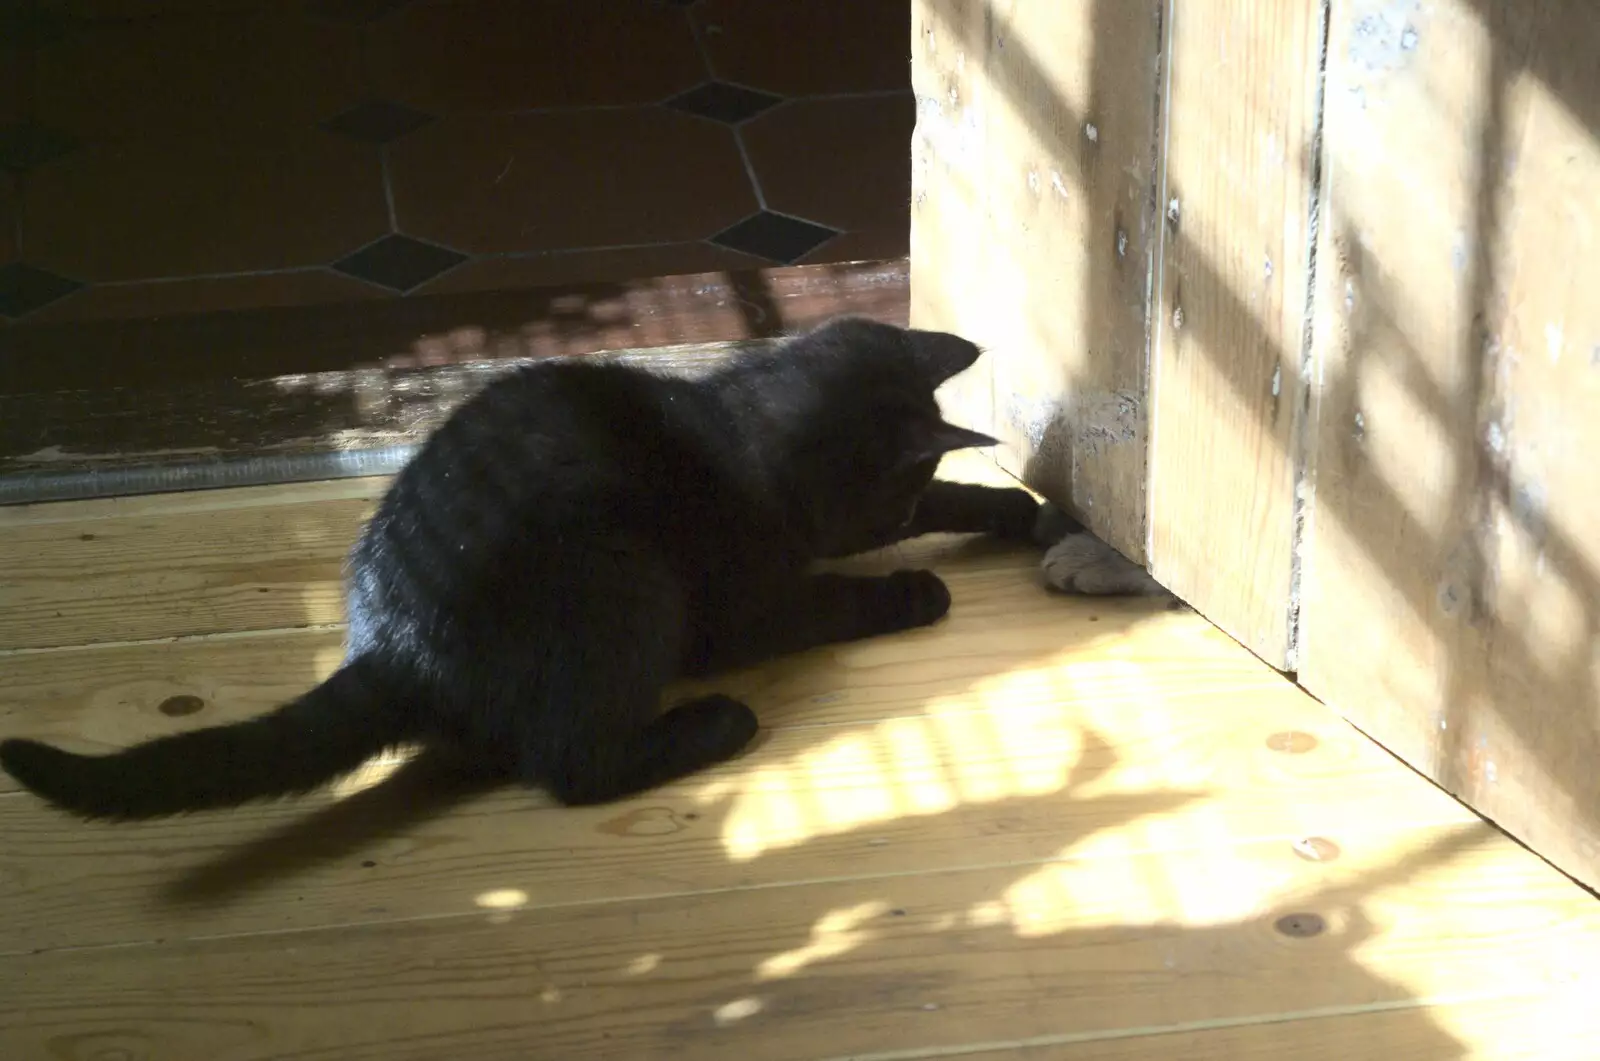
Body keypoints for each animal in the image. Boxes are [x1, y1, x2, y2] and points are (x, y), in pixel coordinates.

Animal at [0, 316, 1043, 819]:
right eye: (890, 498)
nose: (898, 516)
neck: (740, 430)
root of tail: (394, 646)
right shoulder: (751, 602)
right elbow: (831, 597)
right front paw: (915, 586)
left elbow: (952, 508)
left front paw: (1015, 510)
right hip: (626, 574)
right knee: (573, 766)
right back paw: (714, 723)